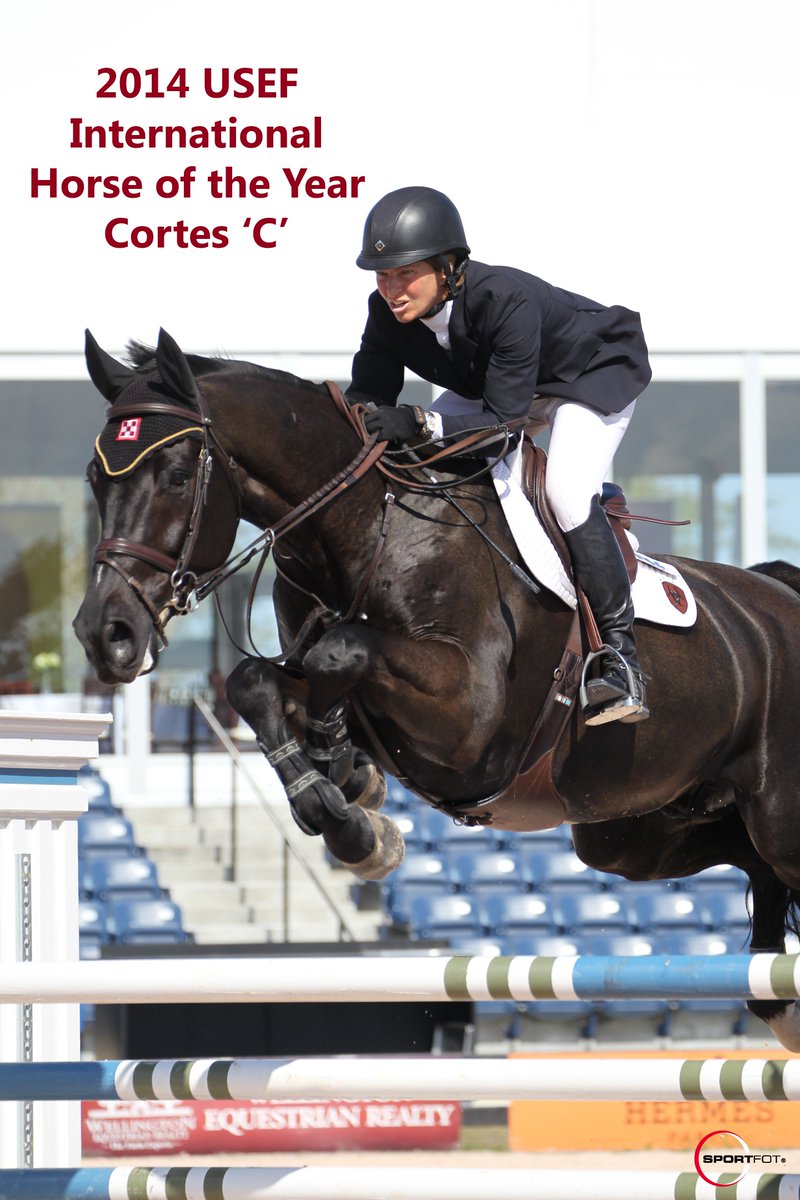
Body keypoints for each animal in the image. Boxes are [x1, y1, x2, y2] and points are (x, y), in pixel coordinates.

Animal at [74, 328, 800, 1051]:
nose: (104, 634)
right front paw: (349, 803)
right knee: (750, 863)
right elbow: (261, 681)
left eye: (174, 475)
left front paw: (350, 799)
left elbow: (345, 651)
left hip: (762, 815)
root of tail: (780, 592)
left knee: (771, 860)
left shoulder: (468, 719)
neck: (368, 527)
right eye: (93, 480)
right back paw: (778, 998)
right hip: (634, 830)